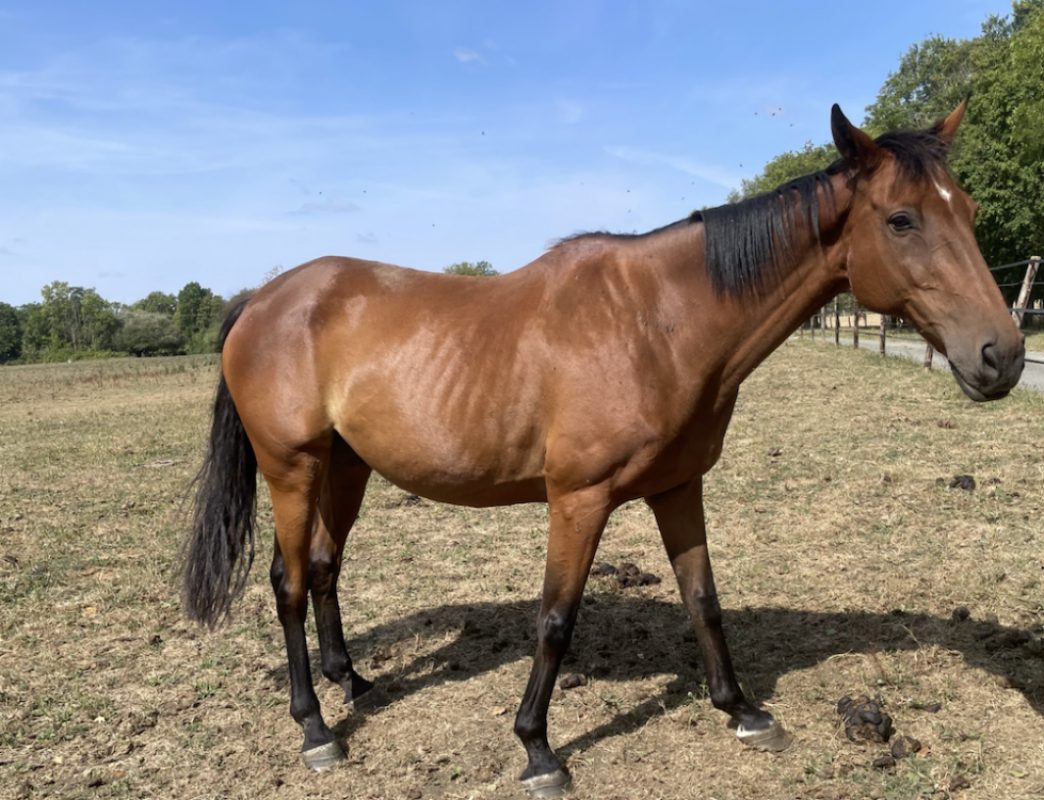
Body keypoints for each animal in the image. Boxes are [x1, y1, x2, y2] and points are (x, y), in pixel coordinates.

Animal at [181, 102, 1023, 797]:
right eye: (902, 220)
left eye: (970, 210)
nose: (1004, 356)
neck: (656, 322)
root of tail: (261, 299)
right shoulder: (578, 500)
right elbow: (557, 618)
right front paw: (537, 750)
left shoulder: (679, 487)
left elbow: (703, 600)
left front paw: (742, 711)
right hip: (292, 469)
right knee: (290, 583)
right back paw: (317, 728)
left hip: (344, 466)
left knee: (325, 568)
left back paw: (352, 682)